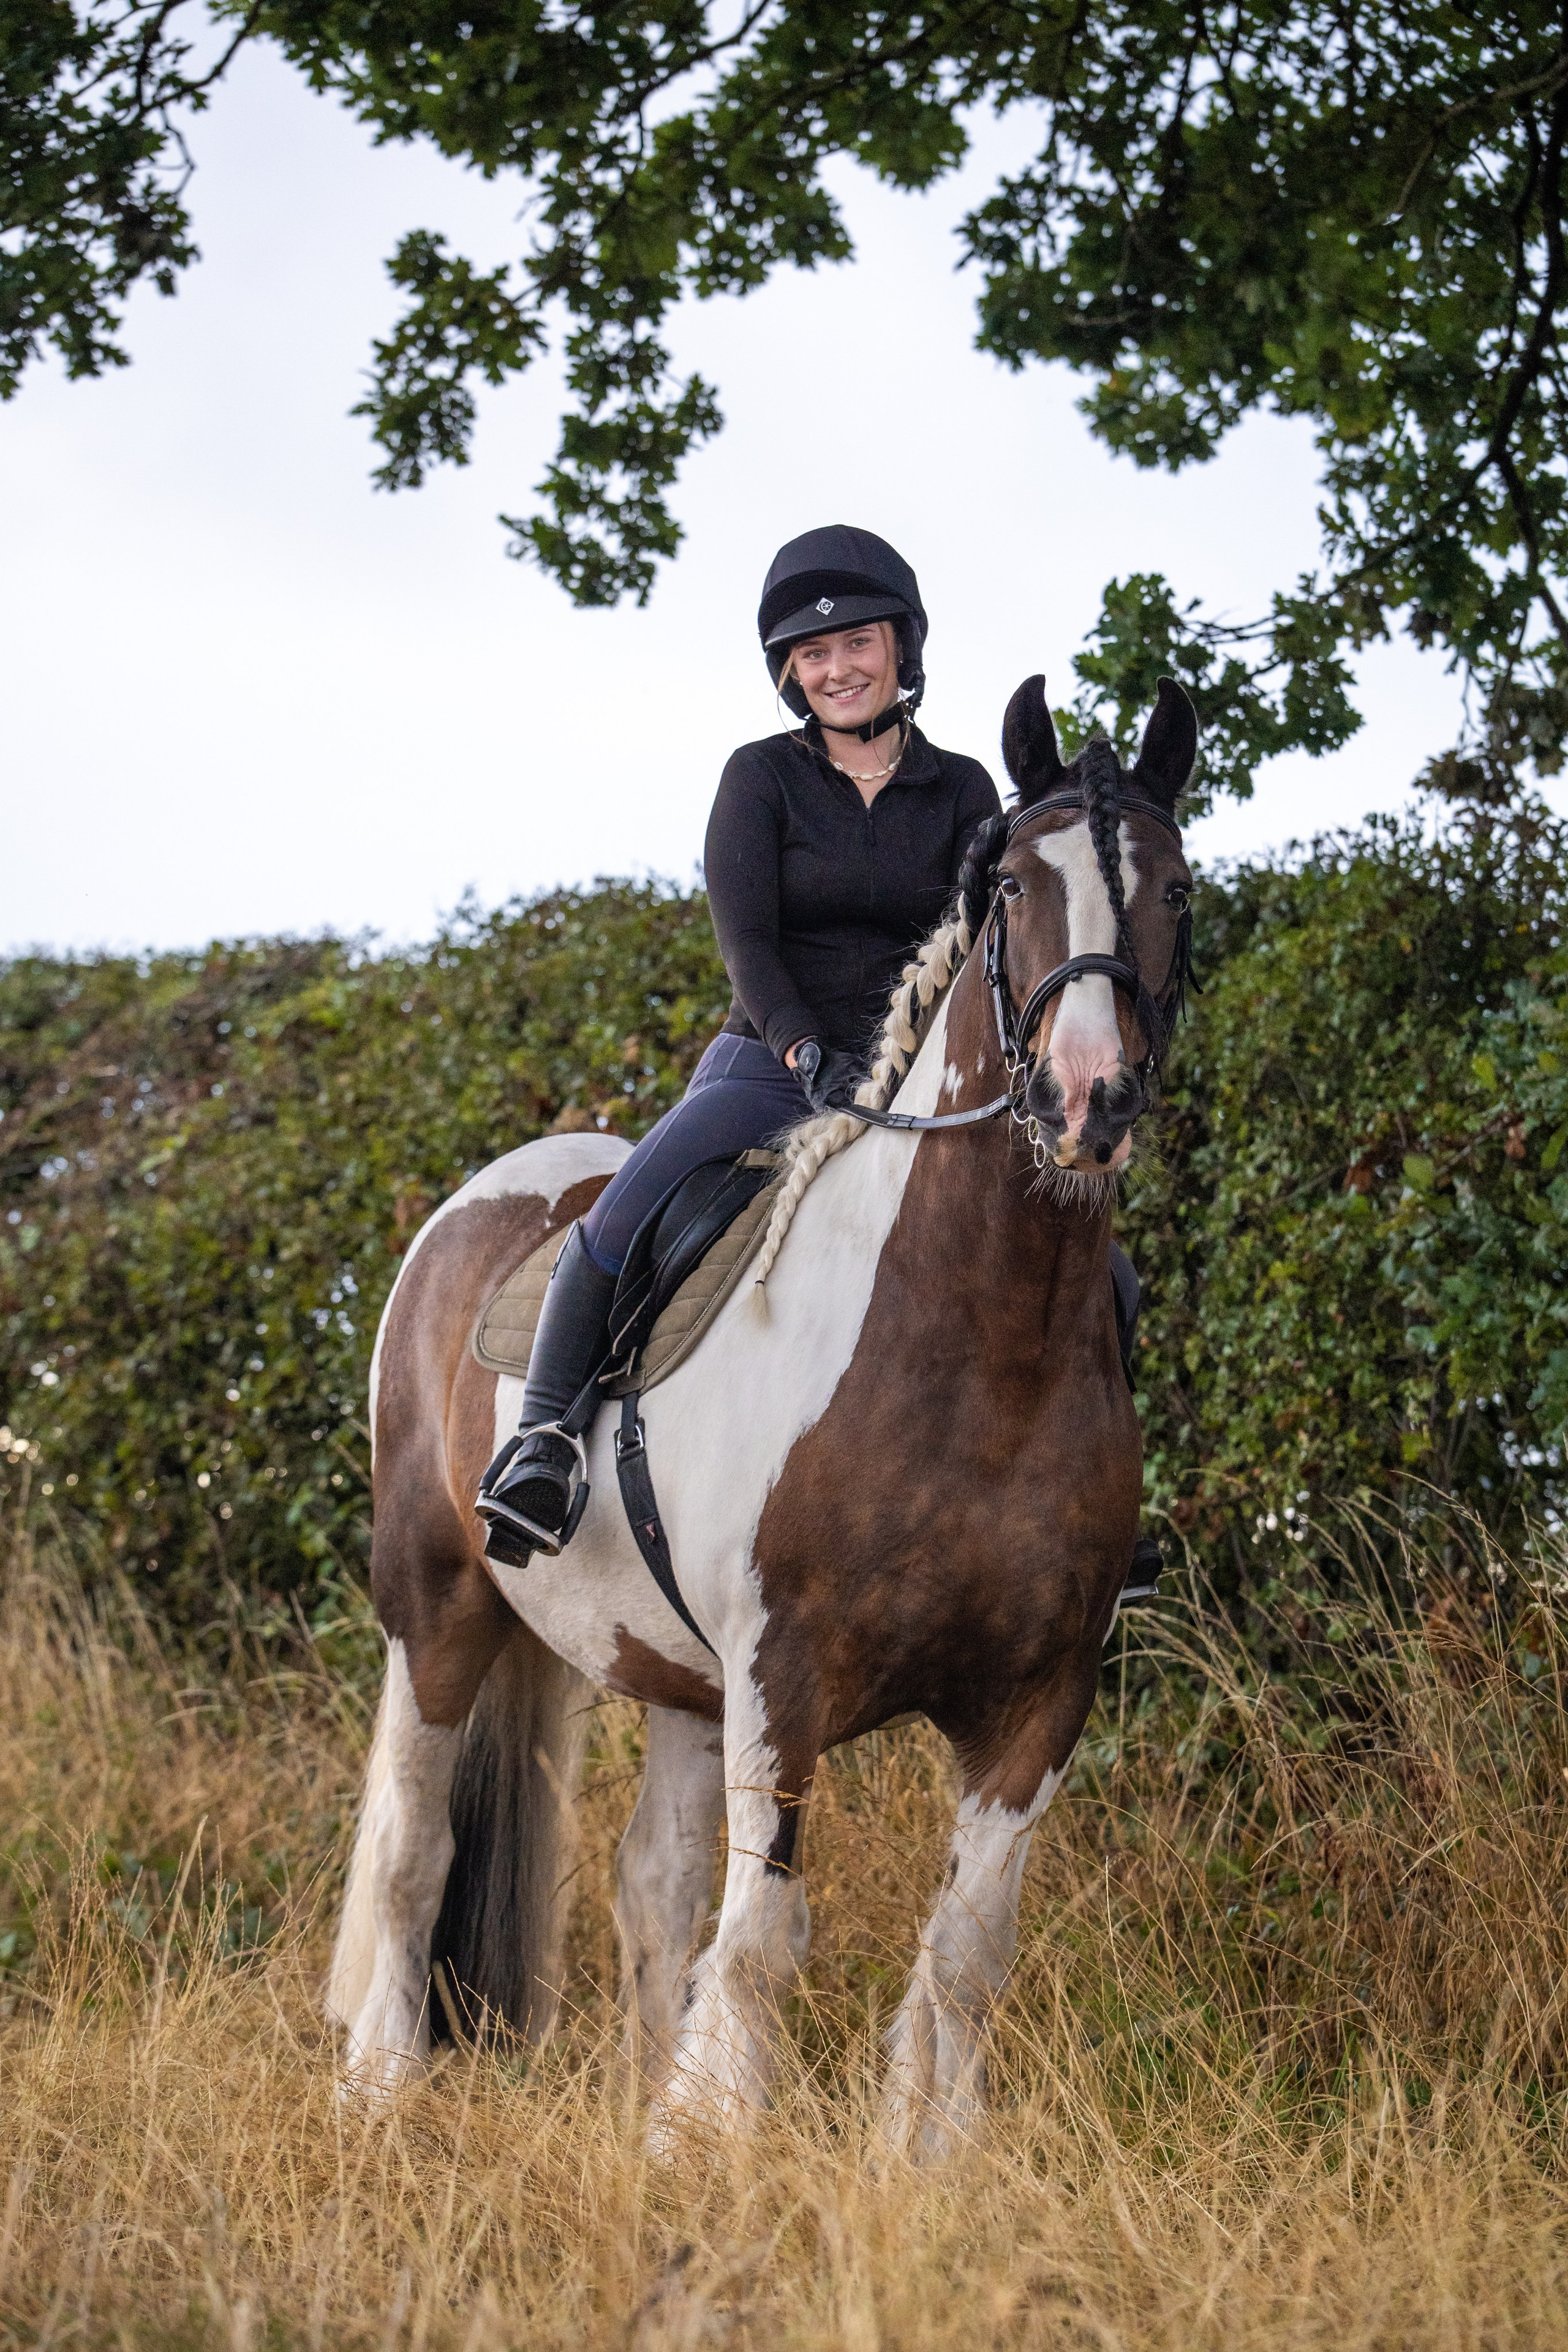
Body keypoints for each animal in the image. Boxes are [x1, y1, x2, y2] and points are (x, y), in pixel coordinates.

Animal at [326, 674, 1198, 2158]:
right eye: (1012, 886)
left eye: (1177, 889)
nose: (1087, 1100)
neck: (977, 1347)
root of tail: (491, 1195)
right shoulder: (784, 1682)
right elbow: (767, 1935)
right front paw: (717, 2141)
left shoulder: (1037, 1703)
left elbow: (966, 1949)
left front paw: (925, 2163)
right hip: (439, 1602)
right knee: (412, 1844)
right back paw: (382, 2091)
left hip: (679, 1676)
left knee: (652, 1884)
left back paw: (629, 2101)